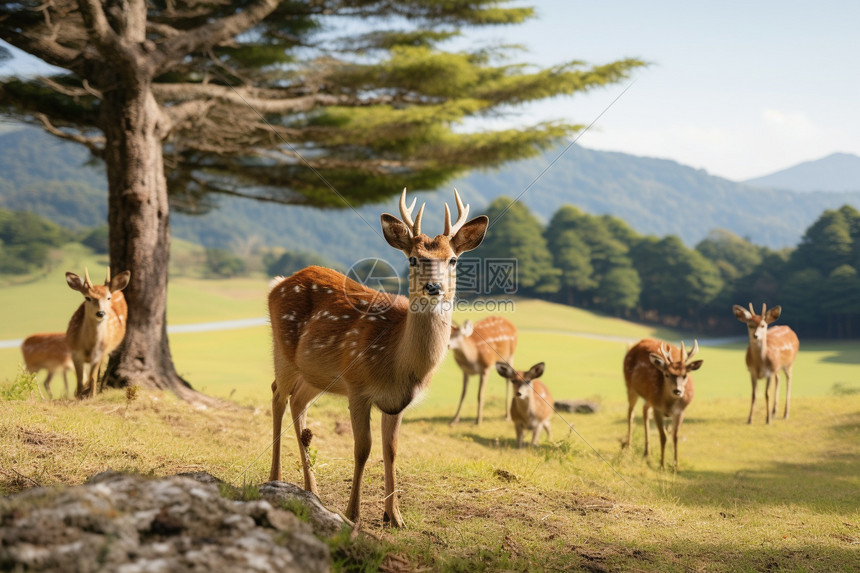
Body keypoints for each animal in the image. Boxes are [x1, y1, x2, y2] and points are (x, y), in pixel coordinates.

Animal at [65, 268, 131, 398]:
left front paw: (91, 395)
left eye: (108, 298)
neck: (88, 347)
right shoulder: (74, 352)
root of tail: (118, 291)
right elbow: (80, 378)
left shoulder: (99, 353)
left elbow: (93, 376)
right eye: (88, 297)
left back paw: (101, 388)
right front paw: (79, 395)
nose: (100, 313)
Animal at [268, 189, 488, 528]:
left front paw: (394, 516)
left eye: (452, 259)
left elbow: (392, 450)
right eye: (413, 258)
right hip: (284, 352)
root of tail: (276, 283)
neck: (396, 364)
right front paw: (352, 514)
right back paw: (275, 479)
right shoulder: (357, 386)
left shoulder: (396, 402)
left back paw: (311, 490)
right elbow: (363, 449)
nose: (434, 287)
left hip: (316, 374)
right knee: (277, 396)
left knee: (298, 403)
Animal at [620, 338, 704, 466]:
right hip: (630, 385)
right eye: (666, 374)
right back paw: (629, 446)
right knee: (631, 412)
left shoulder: (681, 411)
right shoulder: (657, 409)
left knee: (644, 409)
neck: (669, 405)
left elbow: (675, 436)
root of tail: (633, 345)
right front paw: (662, 465)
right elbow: (663, 436)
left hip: (649, 397)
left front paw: (675, 465)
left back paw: (647, 451)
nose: (677, 391)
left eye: (685, 375)